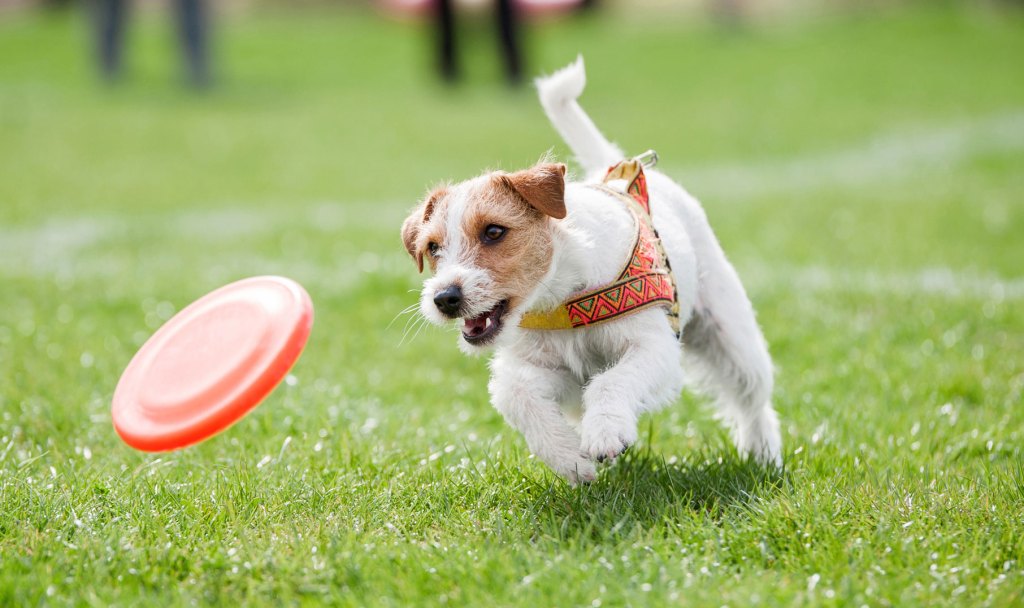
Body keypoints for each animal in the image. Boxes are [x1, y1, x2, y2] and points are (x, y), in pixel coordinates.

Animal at [399, 56, 782, 483]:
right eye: (432, 248)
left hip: (732, 337)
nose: (444, 298)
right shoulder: (547, 369)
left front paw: (605, 433)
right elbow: (516, 395)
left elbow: (611, 381)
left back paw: (763, 454)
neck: (562, 297)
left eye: (494, 231)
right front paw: (570, 458)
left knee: (753, 399)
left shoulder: (653, 347)